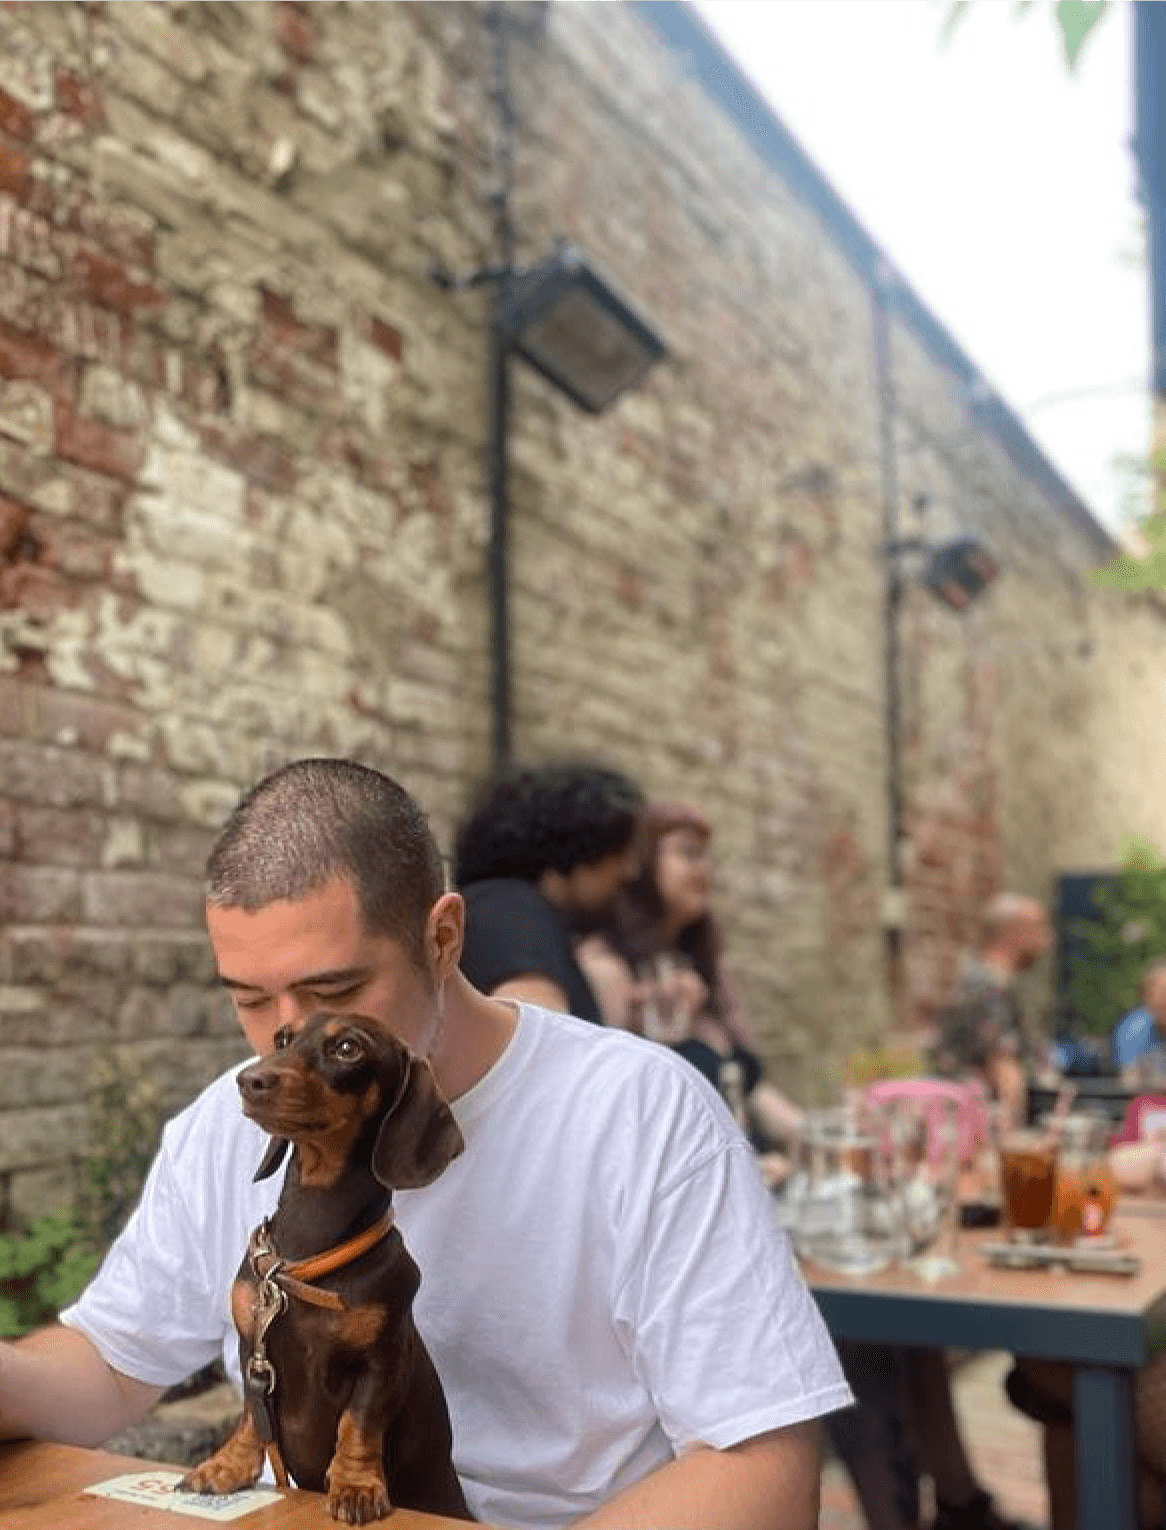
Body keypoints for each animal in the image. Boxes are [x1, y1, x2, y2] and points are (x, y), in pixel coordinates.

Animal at [179, 1009, 471, 1523]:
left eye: (348, 1048)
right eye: (282, 1037)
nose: (249, 1080)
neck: (305, 1253)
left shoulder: (381, 1362)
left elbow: (358, 1423)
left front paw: (356, 1486)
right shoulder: (252, 1347)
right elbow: (251, 1416)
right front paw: (226, 1467)